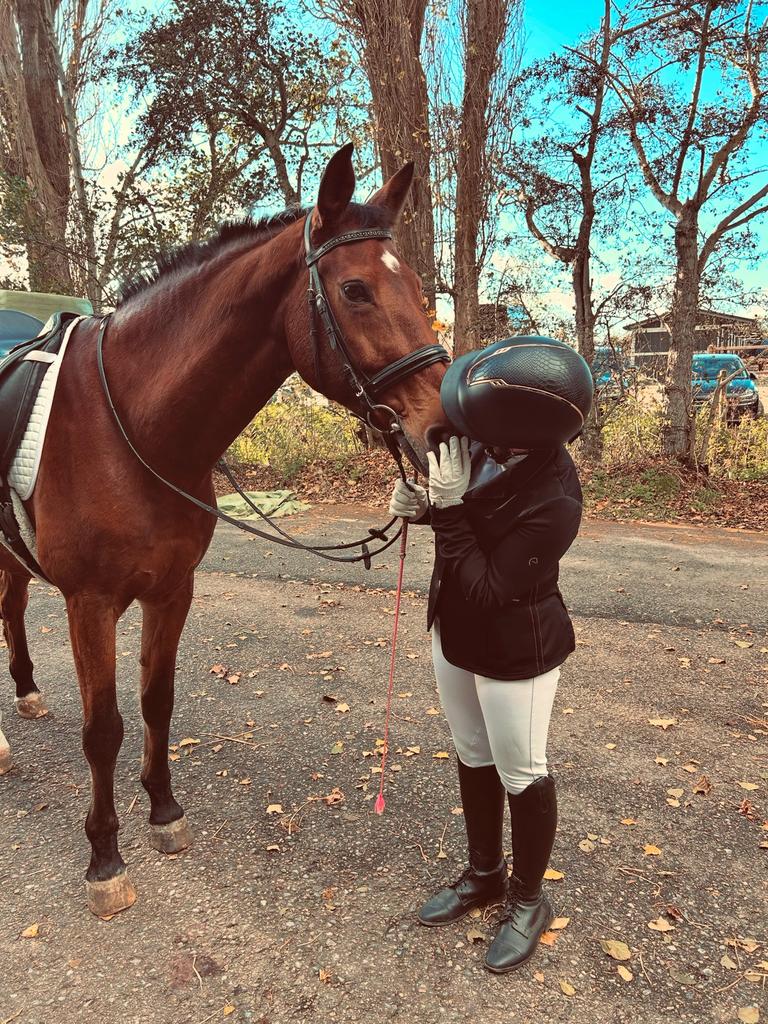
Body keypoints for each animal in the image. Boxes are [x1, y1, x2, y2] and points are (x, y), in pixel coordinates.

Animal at [0, 144, 450, 916]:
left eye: (418, 287)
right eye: (355, 289)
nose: (443, 424)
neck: (131, 426)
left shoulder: (172, 591)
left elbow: (156, 700)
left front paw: (163, 814)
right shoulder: (90, 604)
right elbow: (103, 728)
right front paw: (104, 857)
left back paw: (26, 692)